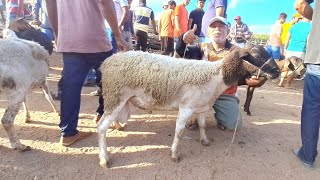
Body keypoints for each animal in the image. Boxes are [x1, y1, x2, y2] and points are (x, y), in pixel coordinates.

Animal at [97, 48, 280, 167]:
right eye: (257, 55)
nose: (277, 72)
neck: (216, 75)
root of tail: (107, 62)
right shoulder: (186, 108)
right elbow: (179, 132)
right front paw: (174, 154)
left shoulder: (200, 107)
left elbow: (202, 125)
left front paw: (205, 140)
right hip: (115, 96)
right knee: (101, 126)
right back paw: (104, 158)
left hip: (117, 99)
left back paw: (118, 127)